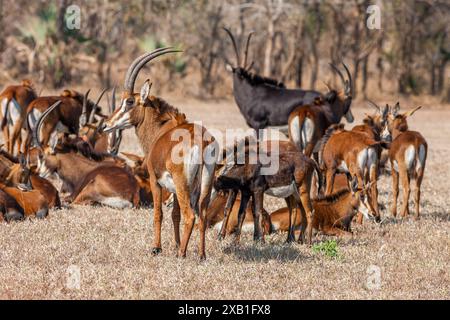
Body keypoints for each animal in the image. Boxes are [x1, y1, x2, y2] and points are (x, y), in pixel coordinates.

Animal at [104, 47, 220, 260]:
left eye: (129, 101)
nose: (106, 124)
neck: (162, 129)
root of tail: (201, 141)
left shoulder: (154, 181)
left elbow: (158, 213)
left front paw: (156, 248)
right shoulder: (172, 188)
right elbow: (174, 215)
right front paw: (175, 244)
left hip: (183, 183)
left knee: (190, 215)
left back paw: (181, 254)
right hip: (205, 184)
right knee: (202, 214)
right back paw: (201, 254)